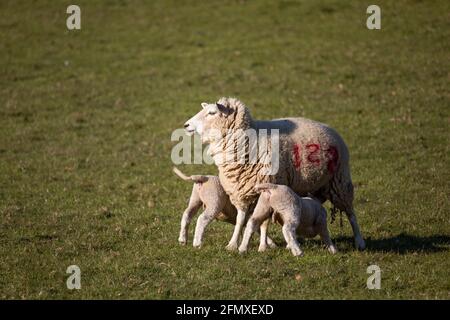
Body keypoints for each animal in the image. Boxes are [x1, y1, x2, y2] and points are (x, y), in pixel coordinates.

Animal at [183, 96, 366, 251]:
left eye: (212, 112)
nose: (186, 125)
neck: (250, 140)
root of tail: (328, 128)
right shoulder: (240, 190)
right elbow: (241, 219)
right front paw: (233, 244)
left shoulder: (268, 184)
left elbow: (263, 223)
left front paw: (262, 246)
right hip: (316, 186)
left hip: (340, 180)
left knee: (351, 213)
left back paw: (359, 242)